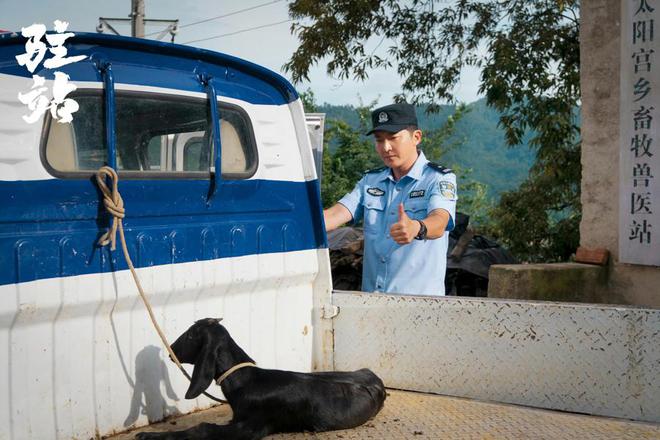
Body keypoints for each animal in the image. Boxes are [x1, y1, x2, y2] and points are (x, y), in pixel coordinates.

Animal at [137, 318, 390, 438]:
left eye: (190, 335)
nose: (170, 349)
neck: (246, 382)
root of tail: (372, 375)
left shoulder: (252, 427)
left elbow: (202, 428)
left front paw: (146, 435)